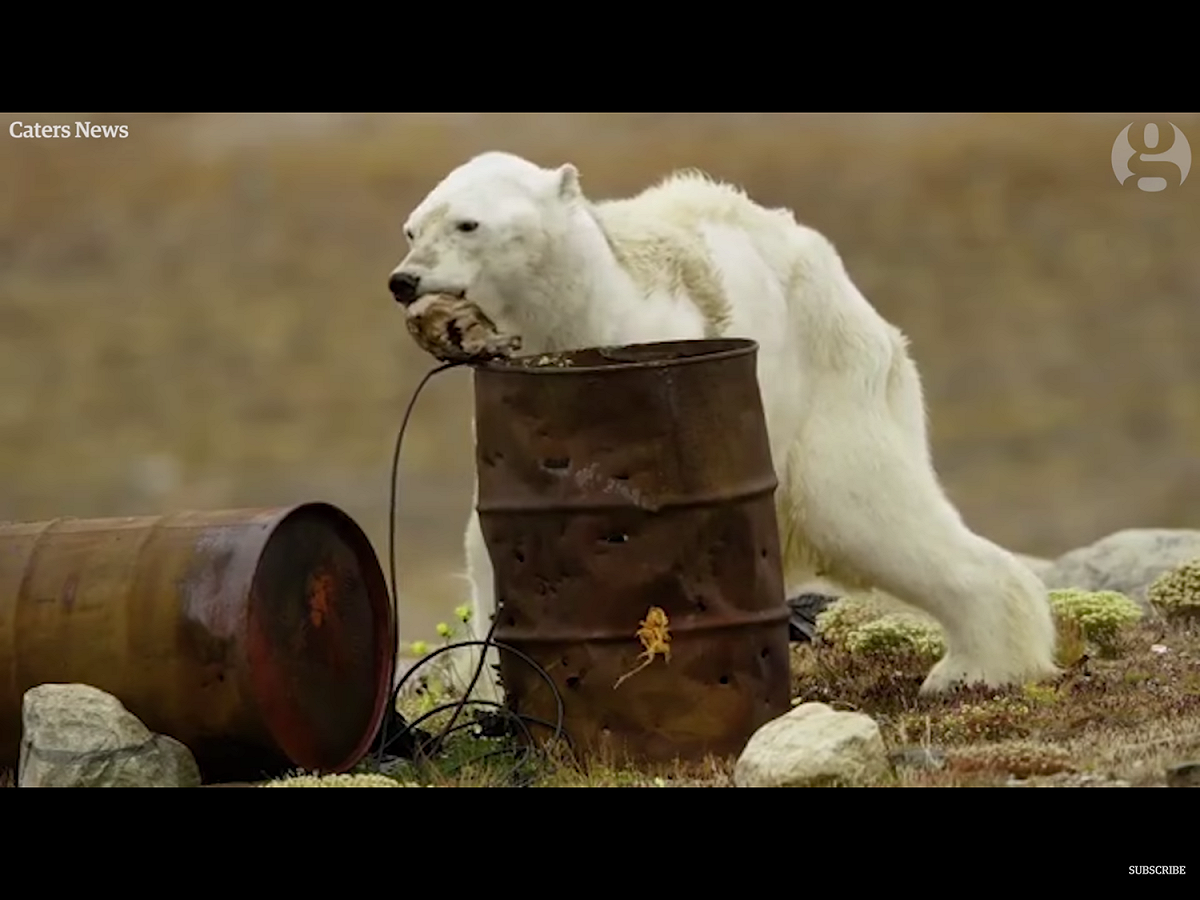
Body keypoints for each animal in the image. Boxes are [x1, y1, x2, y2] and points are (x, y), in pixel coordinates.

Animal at [388, 150, 1061, 701]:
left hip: (829, 384)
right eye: (412, 227)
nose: (404, 280)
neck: (577, 315)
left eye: (468, 224)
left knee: (865, 510)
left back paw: (975, 667)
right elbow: (493, 542)